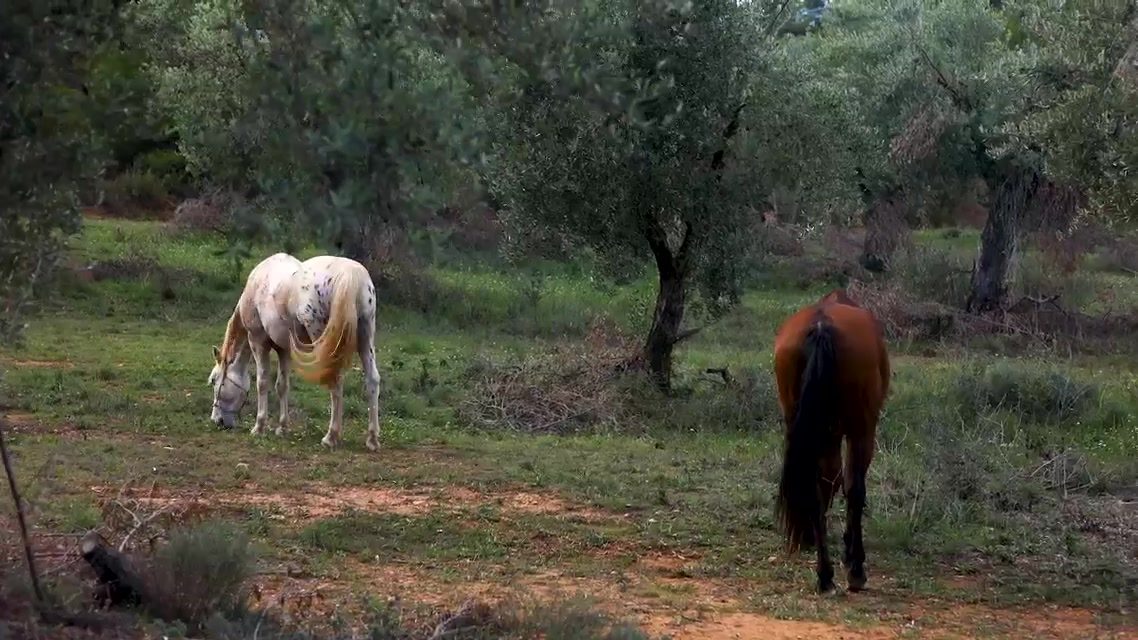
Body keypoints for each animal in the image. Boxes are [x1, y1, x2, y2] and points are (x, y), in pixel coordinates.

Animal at [207, 252, 382, 451]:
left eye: (214, 381)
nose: (217, 420)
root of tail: (352, 276)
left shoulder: (258, 342)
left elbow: (262, 382)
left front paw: (259, 427)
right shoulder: (284, 349)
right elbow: (282, 385)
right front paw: (282, 427)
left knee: (336, 382)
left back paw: (331, 437)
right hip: (365, 338)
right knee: (372, 380)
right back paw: (372, 439)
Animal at [772, 288, 890, 593]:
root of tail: (821, 325)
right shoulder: (857, 431)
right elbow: (850, 486)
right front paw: (851, 554)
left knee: (818, 484)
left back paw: (824, 574)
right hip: (860, 429)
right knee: (853, 487)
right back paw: (855, 571)